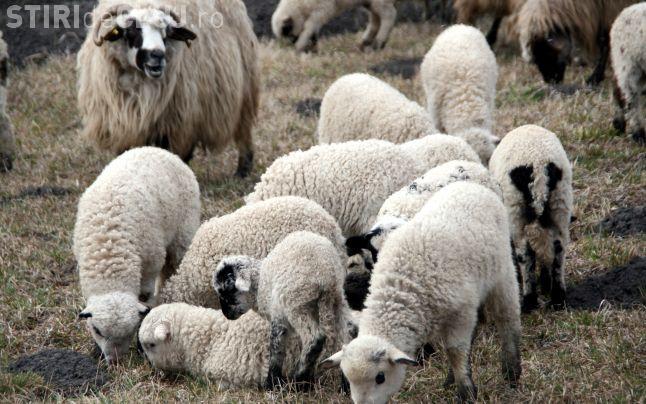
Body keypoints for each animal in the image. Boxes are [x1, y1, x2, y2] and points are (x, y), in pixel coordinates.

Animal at [74, 147, 201, 363]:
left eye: (131, 330)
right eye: (97, 330)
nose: (115, 362)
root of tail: (156, 149)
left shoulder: (150, 263)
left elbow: (145, 297)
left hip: (183, 232)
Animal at [77, 0, 259, 177]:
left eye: (166, 32)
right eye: (132, 29)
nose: (157, 55)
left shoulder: (174, 122)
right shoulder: (121, 124)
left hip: (243, 93)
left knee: (243, 132)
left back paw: (242, 171)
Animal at [212, 231, 353, 389]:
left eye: (226, 292)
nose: (226, 314)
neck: (259, 285)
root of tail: (326, 274)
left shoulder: (278, 316)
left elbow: (276, 348)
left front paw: (272, 382)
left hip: (296, 301)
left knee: (314, 338)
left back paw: (299, 381)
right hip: (337, 298)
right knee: (349, 333)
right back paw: (345, 385)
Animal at [321, 182, 522, 403]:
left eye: (380, 377)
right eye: (348, 379)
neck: (401, 287)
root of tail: (469, 185)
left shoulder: (460, 312)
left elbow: (455, 351)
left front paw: (466, 392)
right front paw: (456, 382)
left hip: (502, 271)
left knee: (507, 316)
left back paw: (512, 372)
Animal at [489, 125, 573, 312]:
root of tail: (538, 165)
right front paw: (545, 282)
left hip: (515, 210)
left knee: (525, 253)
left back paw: (529, 300)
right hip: (560, 203)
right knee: (558, 248)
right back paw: (558, 298)